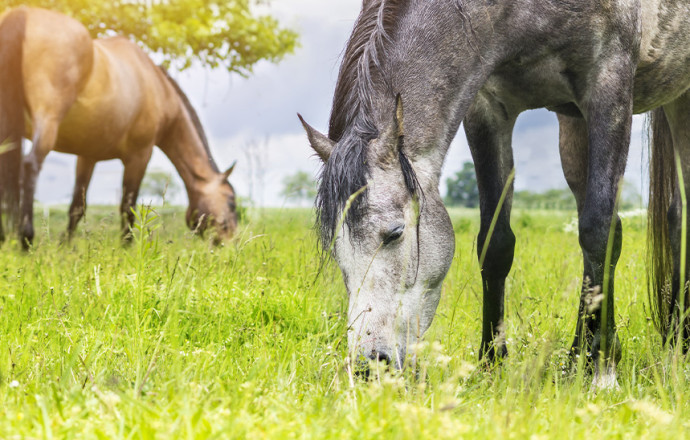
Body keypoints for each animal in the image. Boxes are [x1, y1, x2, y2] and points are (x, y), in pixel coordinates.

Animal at [0, 7, 238, 248]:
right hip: (48, 119)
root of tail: (22, 14)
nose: (230, 244)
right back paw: (26, 239)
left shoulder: (87, 156)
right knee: (31, 165)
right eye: (231, 201)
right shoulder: (140, 156)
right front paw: (127, 246)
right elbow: (128, 207)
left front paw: (64, 245)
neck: (158, 87)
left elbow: (77, 206)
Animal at [300, 0, 690, 388]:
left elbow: (598, 232)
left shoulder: (609, 86)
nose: (368, 367)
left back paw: (677, 346)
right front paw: (491, 362)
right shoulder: (487, 107)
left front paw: (602, 371)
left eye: (394, 233)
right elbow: (495, 243)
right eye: (336, 249)